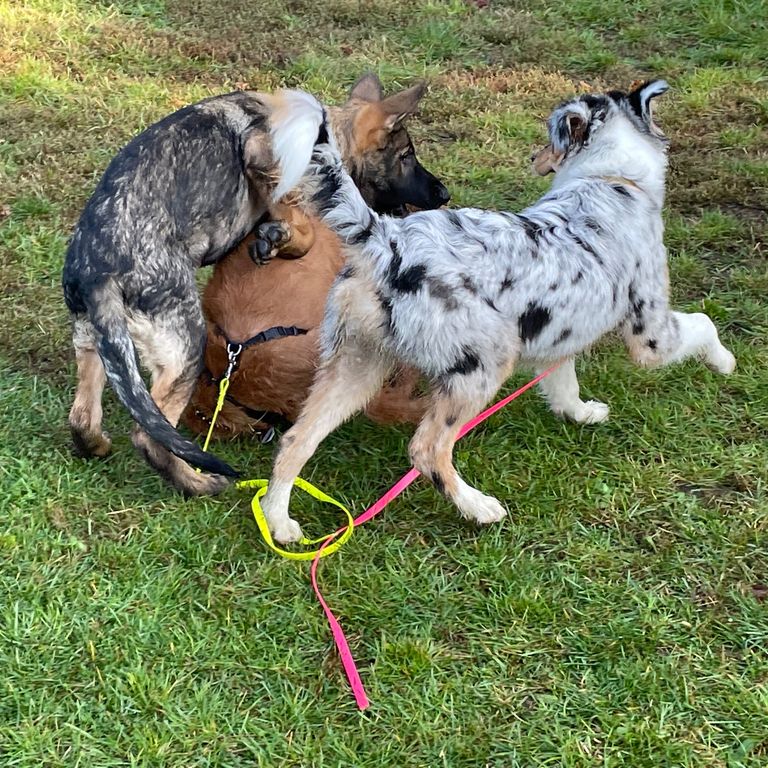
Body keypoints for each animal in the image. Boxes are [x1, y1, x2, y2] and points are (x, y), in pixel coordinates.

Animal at [260, 82, 736, 540]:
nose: (532, 157)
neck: (612, 177)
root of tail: (385, 237)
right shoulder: (651, 334)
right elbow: (703, 324)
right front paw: (726, 362)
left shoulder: (558, 338)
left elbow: (564, 387)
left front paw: (583, 414)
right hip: (483, 364)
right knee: (427, 449)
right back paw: (479, 508)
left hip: (357, 365)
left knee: (297, 440)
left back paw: (280, 524)